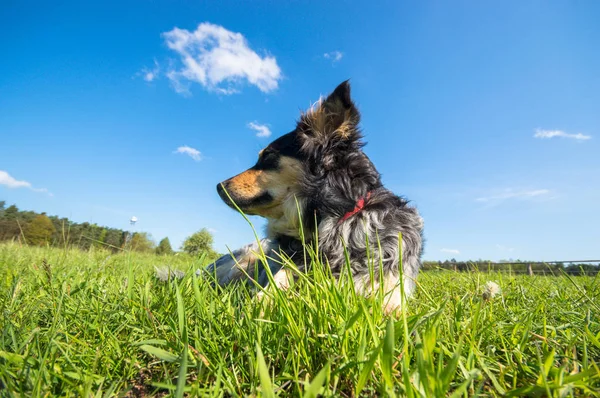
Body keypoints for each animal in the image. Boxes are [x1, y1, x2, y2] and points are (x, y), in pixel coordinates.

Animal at [204, 80, 424, 314]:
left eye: (268, 155)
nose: (218, 186)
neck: (334, 222)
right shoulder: (289, 268)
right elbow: (269, 293)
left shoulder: (391, 294)